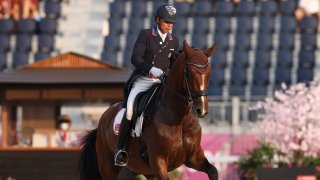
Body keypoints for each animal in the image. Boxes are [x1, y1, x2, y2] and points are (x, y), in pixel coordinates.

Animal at [80, 40, 219, 180]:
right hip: (109, 168)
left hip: (146, 171)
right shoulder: (158, 160)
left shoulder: (193, 158)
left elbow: (213, 171)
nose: (202, 110)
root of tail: (103, 118)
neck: (180, 119)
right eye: (190, 73)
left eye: (209, 73)